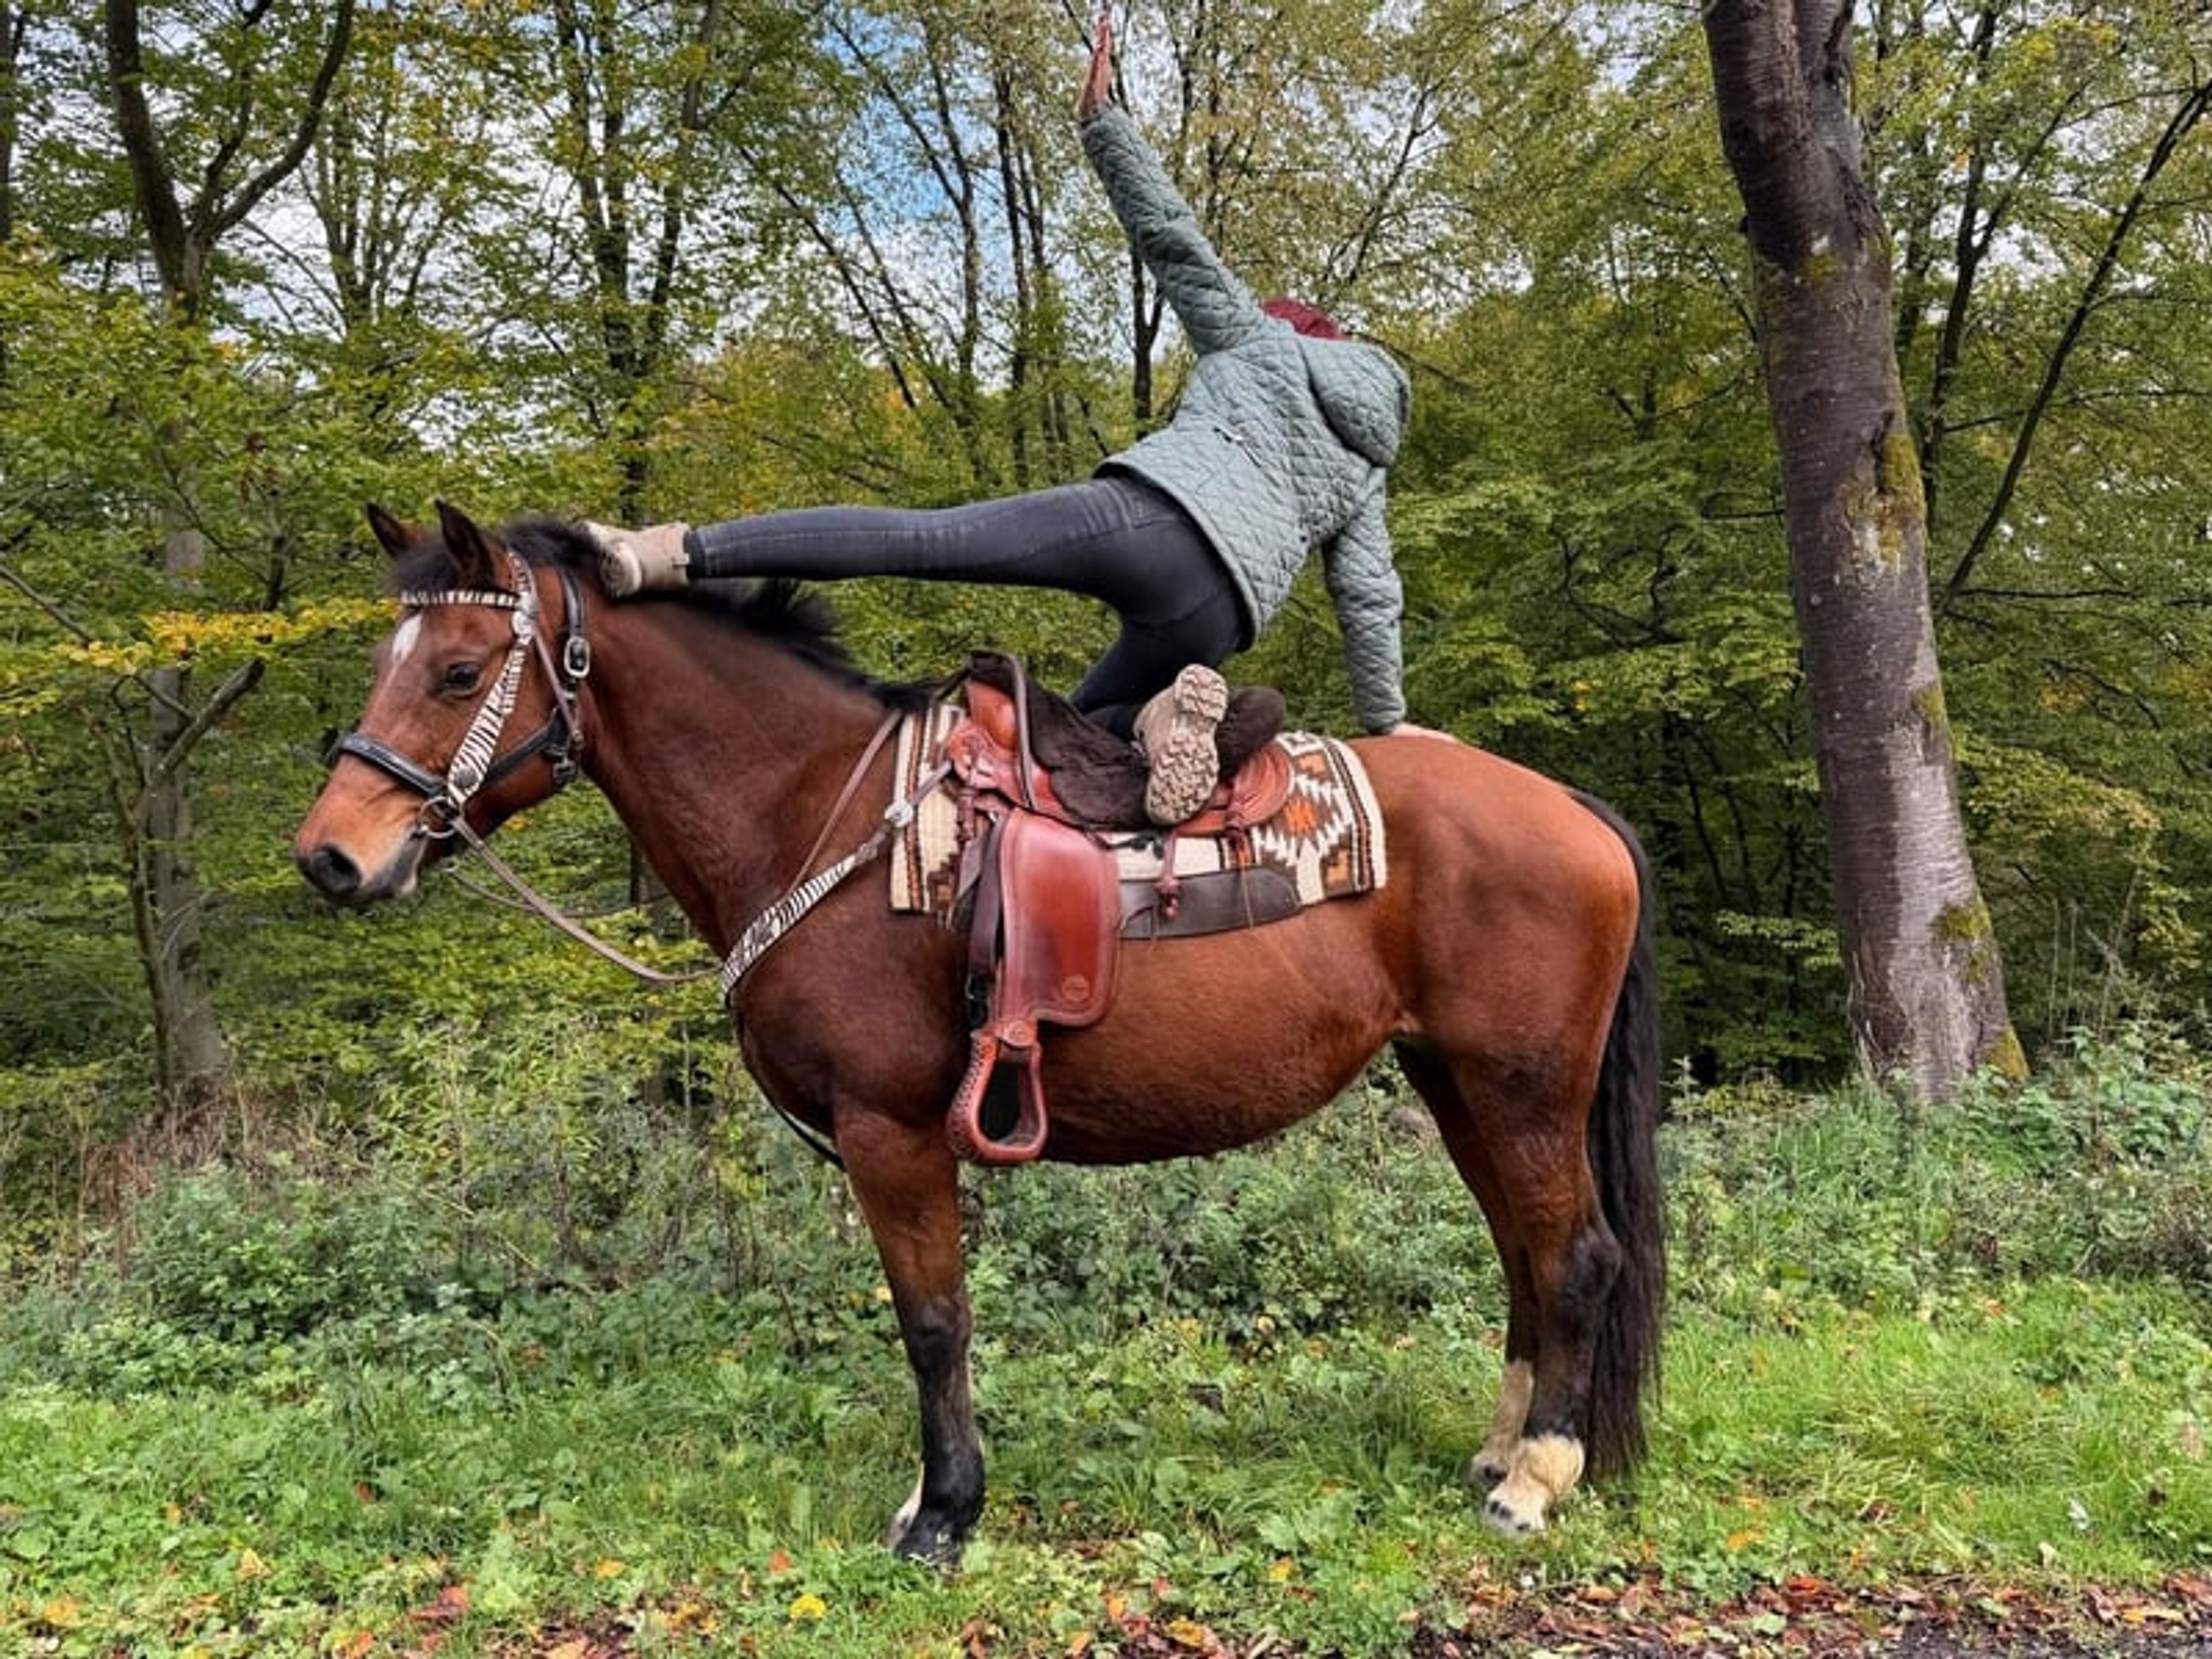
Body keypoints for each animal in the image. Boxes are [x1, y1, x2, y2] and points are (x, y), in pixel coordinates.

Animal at [293, 502, 1665, 1559]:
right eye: (386, 663)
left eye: (460, 671)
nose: (330, 856)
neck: (817, 813)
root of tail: (1577, 810)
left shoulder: (892, 1130)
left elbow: (933, 1319)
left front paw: (944, 1512)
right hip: (1458, 1081)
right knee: (1525, 1257)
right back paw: (1502, 1450)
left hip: (1523, 1085)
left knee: (1577, 1256)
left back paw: (1537, 1477)